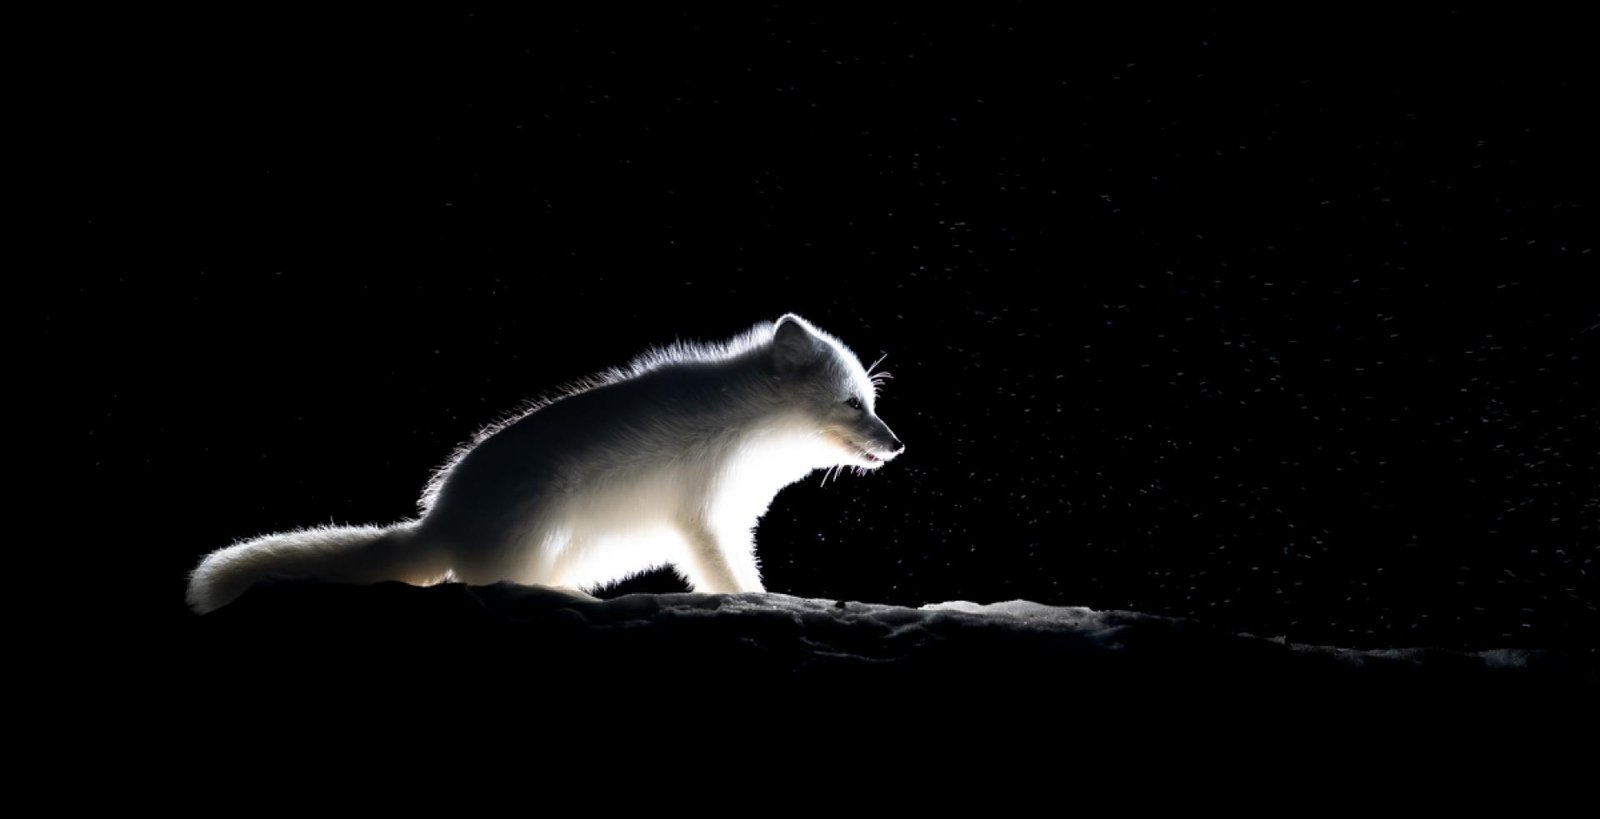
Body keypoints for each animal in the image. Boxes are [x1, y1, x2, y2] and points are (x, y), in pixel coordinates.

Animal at [186, 313, 903, 613]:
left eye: (872, 401)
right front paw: (762, 598)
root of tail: (440, 524)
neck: (749, 428)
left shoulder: (726, 515)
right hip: (543, 528)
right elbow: (725, 574)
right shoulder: (703, 515)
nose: (897, 443)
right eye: (851, 403)